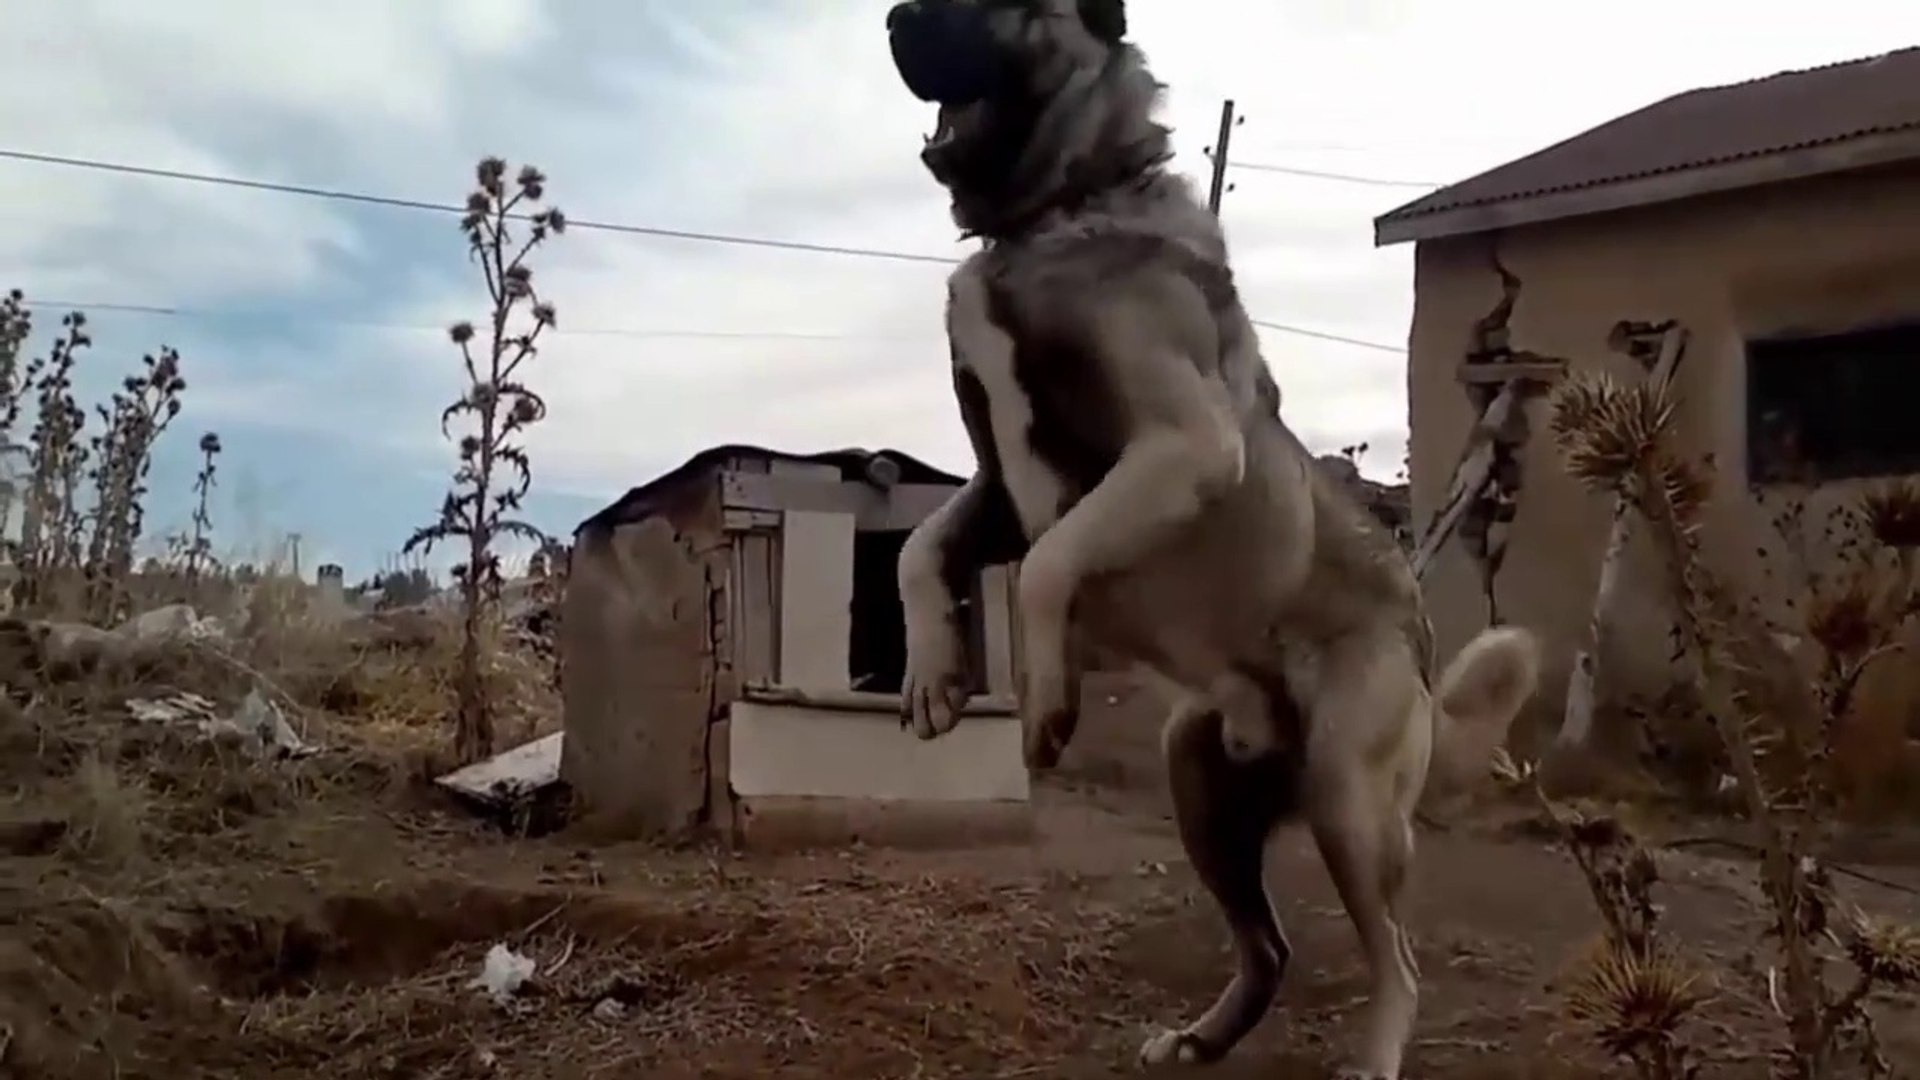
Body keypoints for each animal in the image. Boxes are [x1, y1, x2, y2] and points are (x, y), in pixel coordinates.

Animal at [887, 2, 1543, 1076]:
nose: (895, 20)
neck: (1059, 209)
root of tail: (1419, 648)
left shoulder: (1182, 444)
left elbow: (1052, 567)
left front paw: (1048, 701)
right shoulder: (999, 493)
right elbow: (920, 551)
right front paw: (933, 675)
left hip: (1347, 798)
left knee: (1397, 960)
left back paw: (1374, 1054)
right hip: (1197, 785)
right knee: (1268, 946)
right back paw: (1203, 1036)